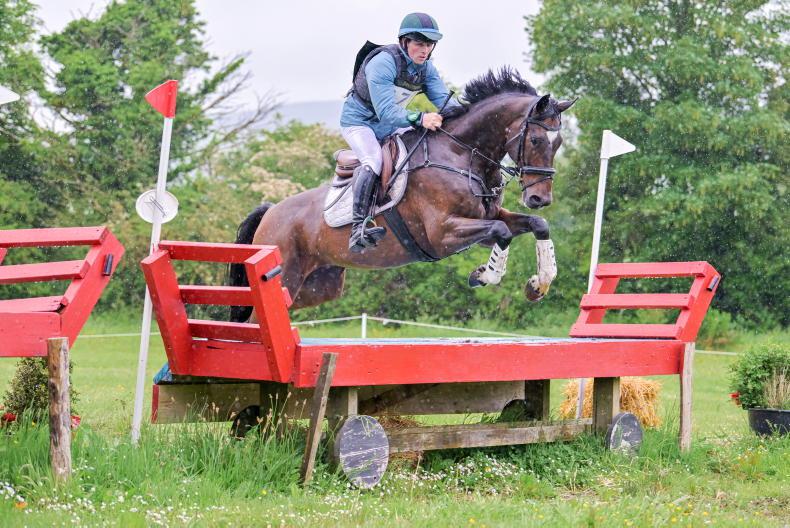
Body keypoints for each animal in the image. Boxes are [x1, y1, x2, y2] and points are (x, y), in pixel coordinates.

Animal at [230, 68, 575, 321]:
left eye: (558, 143)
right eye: (535, 140)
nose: (540, 199)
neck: (461, 154)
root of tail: (270, 211)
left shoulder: (484, 221)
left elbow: (535, 225)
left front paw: (539, 284)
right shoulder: (443, 233)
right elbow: (502, 231)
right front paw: (484, 276)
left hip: (316, 286)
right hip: (286, 274)